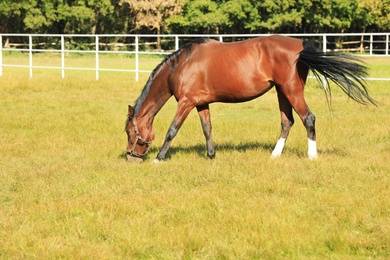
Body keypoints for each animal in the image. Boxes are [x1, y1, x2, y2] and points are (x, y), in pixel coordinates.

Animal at [125, 34, 374, 160]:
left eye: (129, 132)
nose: (130, 157)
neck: (182, 64)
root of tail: (301, 45)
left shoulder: (186, 103)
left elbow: (172, 130)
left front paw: (159, 158)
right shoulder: (201, 103)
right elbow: (207, 129)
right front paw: (211, 155)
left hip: (292, 90)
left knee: (308, 119)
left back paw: (312, 157)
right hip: (282, 92)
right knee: (287, 122)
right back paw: (274, 155)